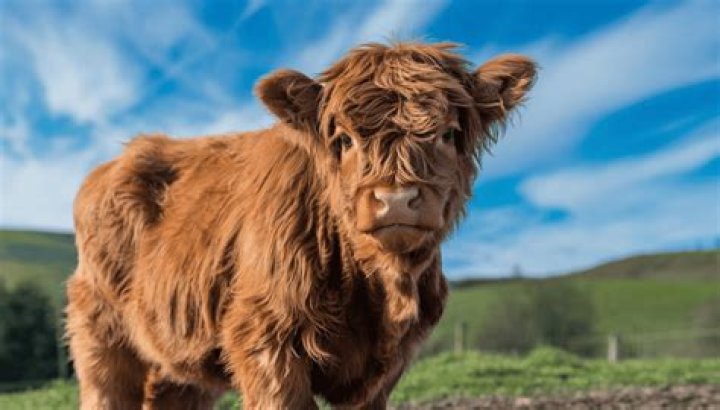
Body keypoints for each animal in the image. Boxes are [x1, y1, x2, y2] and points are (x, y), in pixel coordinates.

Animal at [66, 42, 536, 409]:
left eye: (448, 133)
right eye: (344, 139)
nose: (396, 199)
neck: (378, 288)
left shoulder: (384, 371)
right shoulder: (266, 339)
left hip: (180, 350)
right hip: (101, 331)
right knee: (107, 392)